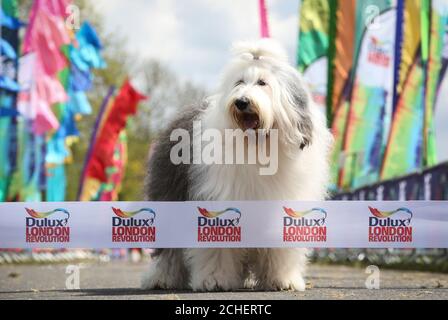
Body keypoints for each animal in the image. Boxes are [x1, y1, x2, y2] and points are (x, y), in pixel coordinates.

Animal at [142, 38, 330, 292]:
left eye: (262, 83)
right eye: (239, 82)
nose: (242, 102)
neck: (259, 146)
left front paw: (282, 279)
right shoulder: (217, 199)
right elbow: (218, 246)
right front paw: (215, 280)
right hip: (170, 193)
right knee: (169, 250)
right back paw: (161, 278)